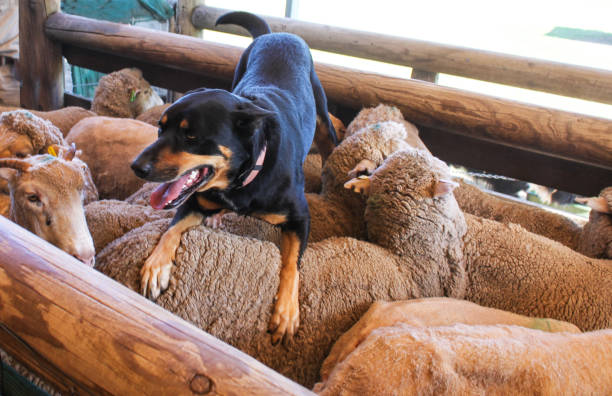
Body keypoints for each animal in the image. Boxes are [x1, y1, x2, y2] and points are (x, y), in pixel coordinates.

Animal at [131, 10, 338, 344]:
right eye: (160, 128)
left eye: (191, 136)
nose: (136, 166)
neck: (245, 176)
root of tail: (274, 34)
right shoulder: (194, 203)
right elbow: (172, 228)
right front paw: (156, 265)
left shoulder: (299, 219)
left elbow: (292, 264)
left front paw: (286, 312)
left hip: (321, 113)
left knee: (329, 140)